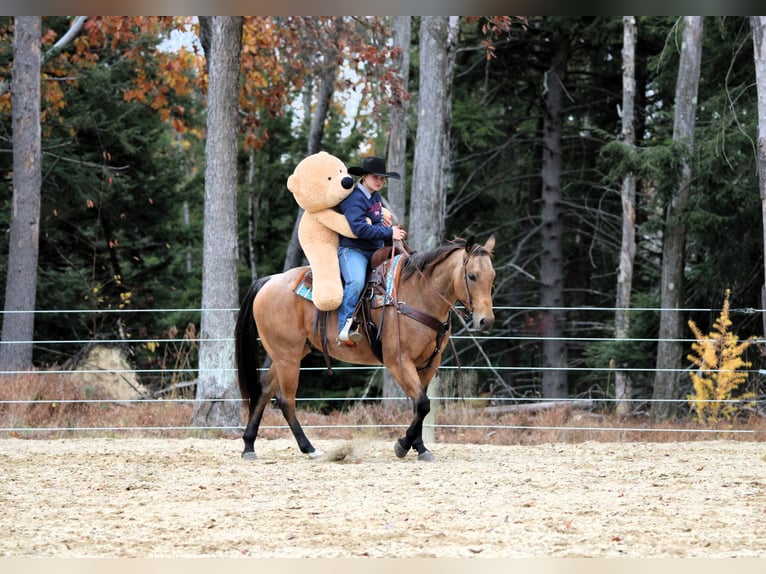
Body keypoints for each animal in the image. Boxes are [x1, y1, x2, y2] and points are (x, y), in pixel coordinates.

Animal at [234, 235, 496, 462]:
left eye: (492, 276)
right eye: (472, 276)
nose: (486, 321)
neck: (419, 295)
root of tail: (269, 280)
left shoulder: (429, 364)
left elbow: (419, 406)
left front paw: (420, 447)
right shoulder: (398, 361)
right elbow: (422, 404)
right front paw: (402, 445)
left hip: (288, 354)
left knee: (265, 390)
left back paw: (248, 445)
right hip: (287, 356)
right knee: (285, 399)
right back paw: (309, 448)